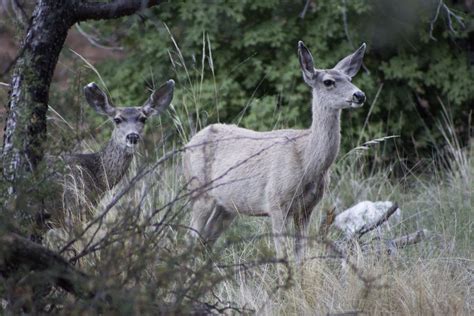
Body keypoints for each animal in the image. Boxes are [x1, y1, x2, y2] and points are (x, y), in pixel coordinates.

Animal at [184, 42, 366, 264]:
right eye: (328, 82)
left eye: (350, 79)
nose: (359, 95)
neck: (307, 160)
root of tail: (189, 143)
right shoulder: (276, 202)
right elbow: (282, 256)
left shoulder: (307, 209)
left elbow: (299, 255)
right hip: (199, 191)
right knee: (190, 237)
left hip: (226, 206)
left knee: (206, 240)